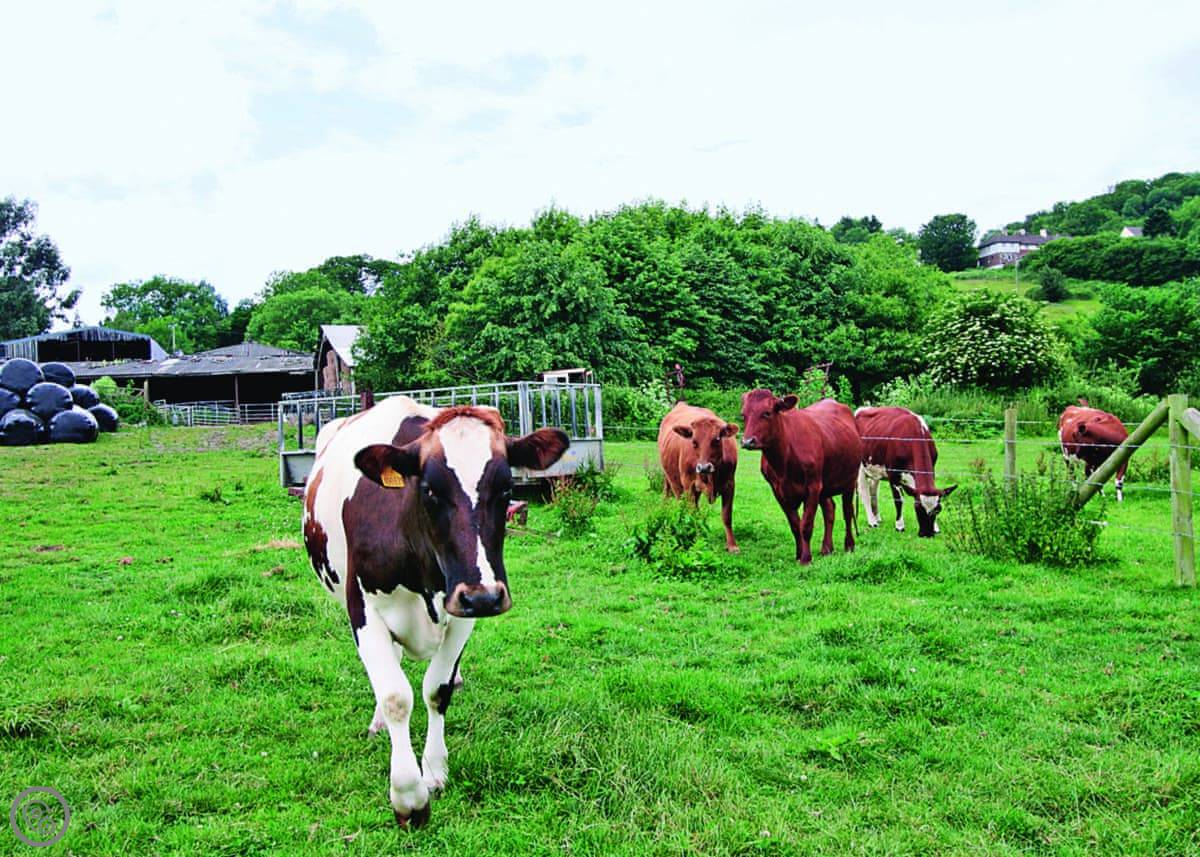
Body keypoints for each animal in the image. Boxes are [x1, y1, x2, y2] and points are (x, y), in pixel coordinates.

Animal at [302, 396, 568, 827]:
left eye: (507, 487)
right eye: (429, 490)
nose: (484, 598)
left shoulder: (463, 608)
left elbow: (436, 690)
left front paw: (434, 770)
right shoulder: (362, 609)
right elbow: (396, 696)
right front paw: (409, 796)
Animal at [658, 402, 740, 552]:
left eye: (717, 440)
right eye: (694, 442)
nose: (703, 468)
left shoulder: (730, 484)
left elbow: (727, 516)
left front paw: (732, 545)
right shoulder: (688, 484)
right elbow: (693, 514)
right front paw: (697, 538)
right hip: (672, 480)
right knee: (675, 499)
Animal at [740, 391, 862, 564]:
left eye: (767, 413)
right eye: (743, 415)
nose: (747, 441)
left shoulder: (812, 487)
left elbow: (806, 525)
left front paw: (806, 558)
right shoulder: (778, 491)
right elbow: (795, 525)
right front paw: (798, 554)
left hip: (850, 480)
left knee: (847, 512)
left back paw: (849, 545)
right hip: (824, 485)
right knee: (830, 510)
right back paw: (827, 548)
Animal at [854, 406, 956, 537]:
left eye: (938, 509)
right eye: (917, 507)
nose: (927, 534)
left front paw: (936, 528)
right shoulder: (893, 475)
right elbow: (899, 500)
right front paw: (899, 526)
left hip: (875, 470)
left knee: (873, 491)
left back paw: (877, 518)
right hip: (861, 469)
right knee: (865, 493)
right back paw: (872, 522)